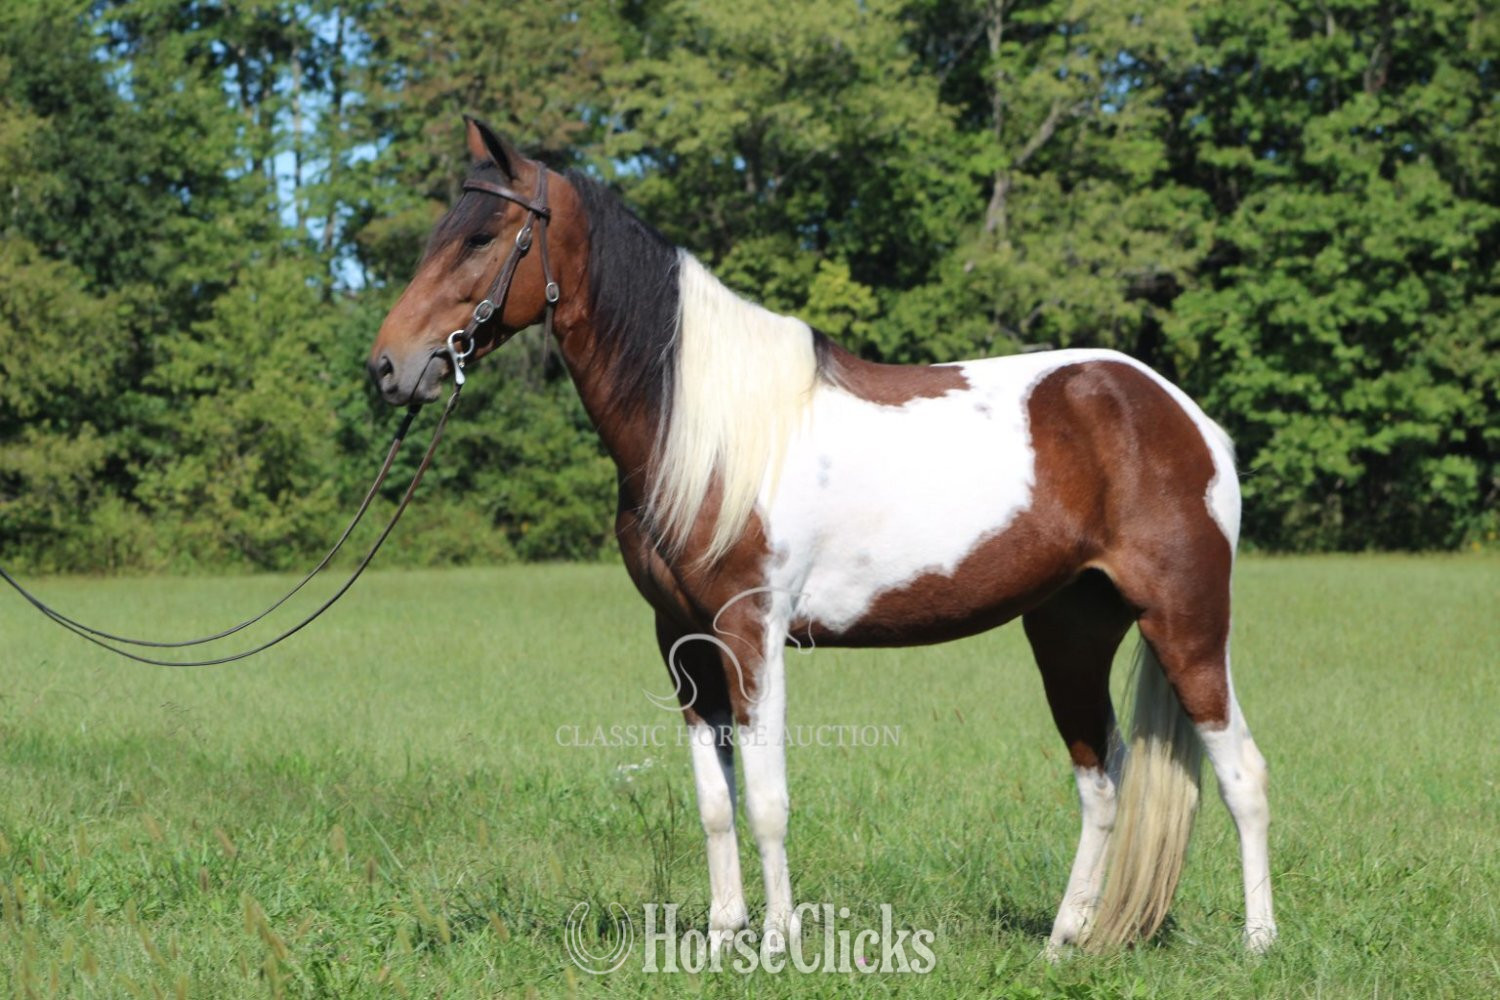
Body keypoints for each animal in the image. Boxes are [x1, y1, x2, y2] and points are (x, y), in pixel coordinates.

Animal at [367, 117, 1277, 956]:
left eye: (482, 237)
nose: (386, 368)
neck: (708, 431)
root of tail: (1184, 418)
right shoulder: (682, 640)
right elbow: (716, 802)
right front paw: (723, 936)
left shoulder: (752, 630)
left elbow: (767, 800)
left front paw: (779, 942)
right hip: (1070, 631)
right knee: (1102, 776)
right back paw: (1064, 939)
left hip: (1186, 624)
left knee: (1241, 772)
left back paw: (1259, 941)